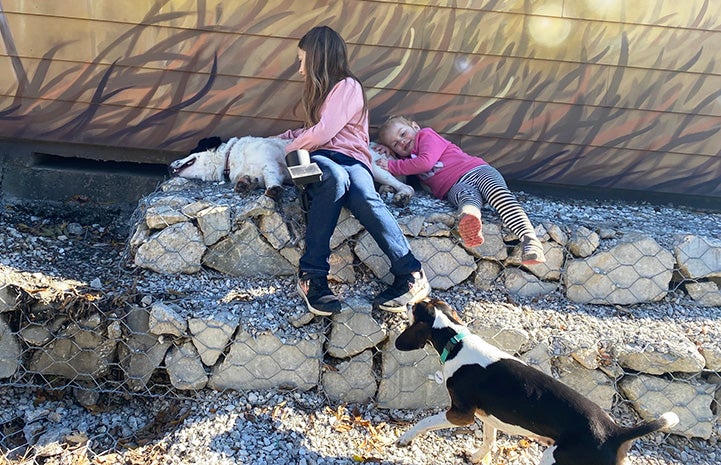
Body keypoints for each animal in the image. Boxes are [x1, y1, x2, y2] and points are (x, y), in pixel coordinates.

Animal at [169, 134, 414, 203]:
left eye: (191, 150)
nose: (170, 165)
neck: (231, 157)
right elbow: (249, 180)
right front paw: (244, 184)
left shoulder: (270, 163)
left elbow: (270, 178)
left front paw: (274, 189)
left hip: (375, 167)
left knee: (406, 186)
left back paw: (401, 195)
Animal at [396, 300, 676, 462]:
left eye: (416, 308)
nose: (408, 300)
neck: (456, 342)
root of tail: (616, 432)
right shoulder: (488, 416)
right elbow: (488, 441)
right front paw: (475, 457)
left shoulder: (460, 413)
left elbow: (425, 422)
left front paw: (406, 438)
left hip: (555, 458)